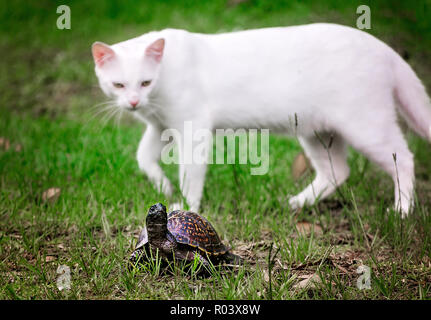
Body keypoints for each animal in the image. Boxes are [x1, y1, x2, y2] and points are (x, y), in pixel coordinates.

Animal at [92, 23, 431, 218]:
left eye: (145, 82)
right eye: (119, 85)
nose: (133, 102)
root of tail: (384, 48)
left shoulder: (192, 129)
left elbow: (191, 175)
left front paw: (187, 207)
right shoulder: (160, 126)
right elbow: (143, 158)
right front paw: (163, 187)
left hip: (366, 126)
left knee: (404, 159)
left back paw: (402, 210)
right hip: (316, 132)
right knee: (337, 171)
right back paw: (296, 203)